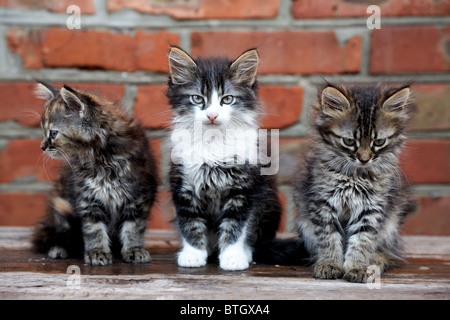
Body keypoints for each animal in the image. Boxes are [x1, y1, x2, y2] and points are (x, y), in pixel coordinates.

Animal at [32, 82, 158, 264]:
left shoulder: (138, 195)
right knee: (55, 234)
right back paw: (59, 248)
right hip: (58, 205)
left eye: (53, 133)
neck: (101, 157)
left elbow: (134, 226)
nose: (42, 147)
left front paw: (134, 249)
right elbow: (93, 229)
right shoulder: (87, 198)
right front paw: (97, 252)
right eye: (43, 131)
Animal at [165, 45, 284, 270]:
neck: (213, 142)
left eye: (227, 99)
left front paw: (232, 257)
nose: (212, 115)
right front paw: (193, 254)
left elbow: (236, 225)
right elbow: (189, 222)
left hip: (269, 205)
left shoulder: (243, 189)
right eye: (197, 98)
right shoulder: (183, 185)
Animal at [294, 82, 416, 282]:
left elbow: (362, 241)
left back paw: (375, 261)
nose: (364, 159)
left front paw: (358, 267)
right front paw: (330, 264)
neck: (355, 176)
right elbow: (328, 238)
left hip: (391, 226)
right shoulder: (323, 204)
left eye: (379, 142)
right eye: (349, 141)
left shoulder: (371, 208)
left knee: (388, 253)